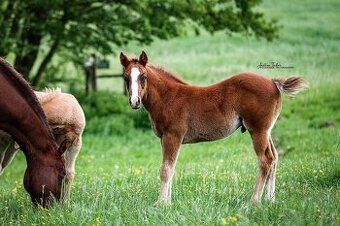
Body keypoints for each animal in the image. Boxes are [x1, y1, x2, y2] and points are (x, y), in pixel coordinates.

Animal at [120, 51, 308, 205]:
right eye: (126, 77)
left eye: (143, 76)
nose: (135, 102)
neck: (168, 97)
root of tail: (272, 81)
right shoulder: (165, 139)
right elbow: (171, 168)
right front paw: (168, 202)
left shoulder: (172, 136)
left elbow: (165, 170)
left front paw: (161, 204)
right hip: (266, 131)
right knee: (274, 157)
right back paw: (270, 200)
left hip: (258, 131)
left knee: (265, 160)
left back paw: (253, 202)